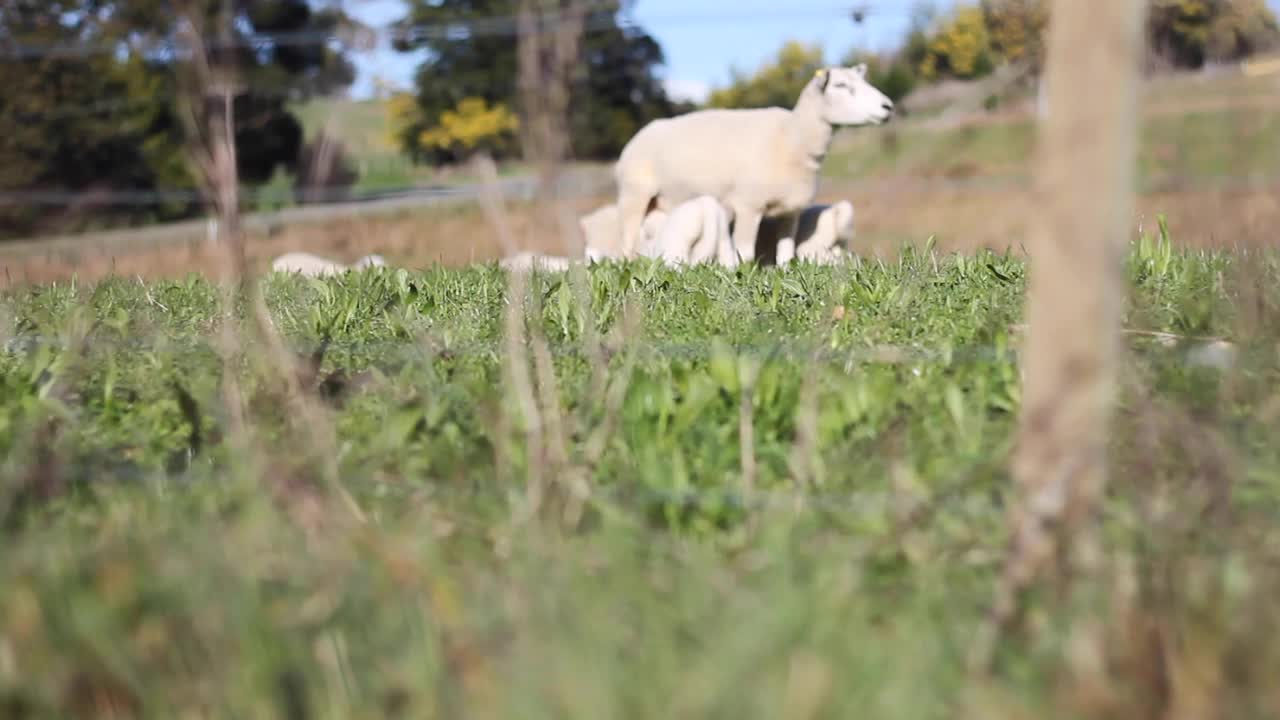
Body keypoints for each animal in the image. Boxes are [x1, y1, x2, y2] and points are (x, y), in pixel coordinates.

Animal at [614, 63, 896, 260]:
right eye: (840, 85)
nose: (888, 107)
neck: (794, 138)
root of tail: (640, 134)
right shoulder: (748, 204)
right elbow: (746, 253)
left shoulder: (790, 210)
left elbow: (786, 253)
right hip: (634, 193)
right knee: (627, 240)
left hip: (660, 203)